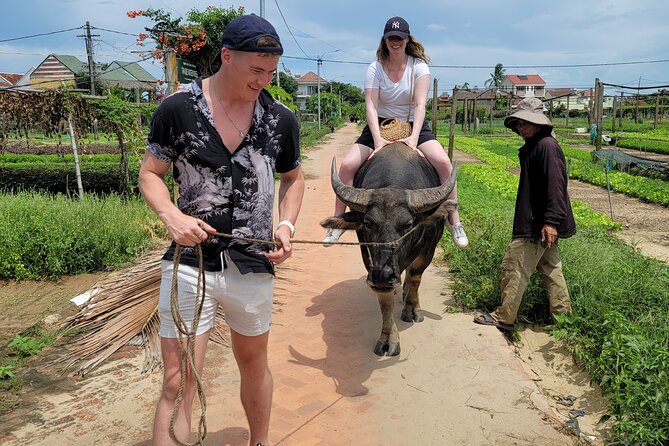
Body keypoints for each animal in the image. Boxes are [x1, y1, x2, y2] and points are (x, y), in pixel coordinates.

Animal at [320, 143, 456, 356]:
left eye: (408, 224)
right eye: (368, 223)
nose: (383, 274)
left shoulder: (430, 247)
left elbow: (415, 277)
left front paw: (412, 309)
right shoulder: (368, 256)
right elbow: (385, 299)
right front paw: (388, 339)